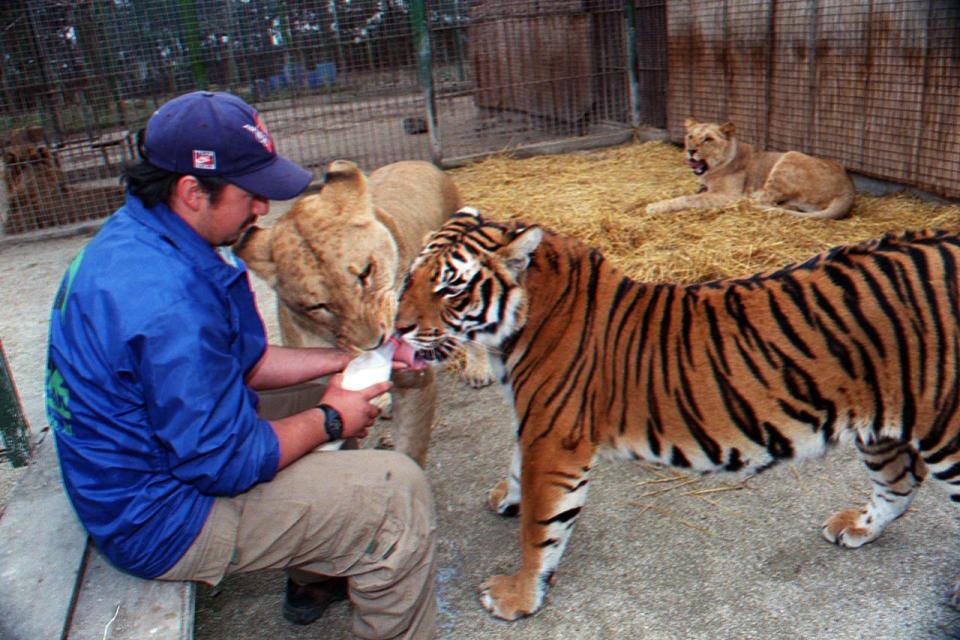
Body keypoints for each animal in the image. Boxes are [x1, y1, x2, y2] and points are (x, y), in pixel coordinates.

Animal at [398, 209, 960, 620]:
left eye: (451, 286)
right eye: (409, 276)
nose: (398, 328)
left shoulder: (555, 440)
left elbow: (542, 528)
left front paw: (515, 597)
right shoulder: (534, 424)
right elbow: (516, 470)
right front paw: (505, 497)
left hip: (945, 431)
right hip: (882, 422)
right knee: (899, 483)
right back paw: (858, 527)